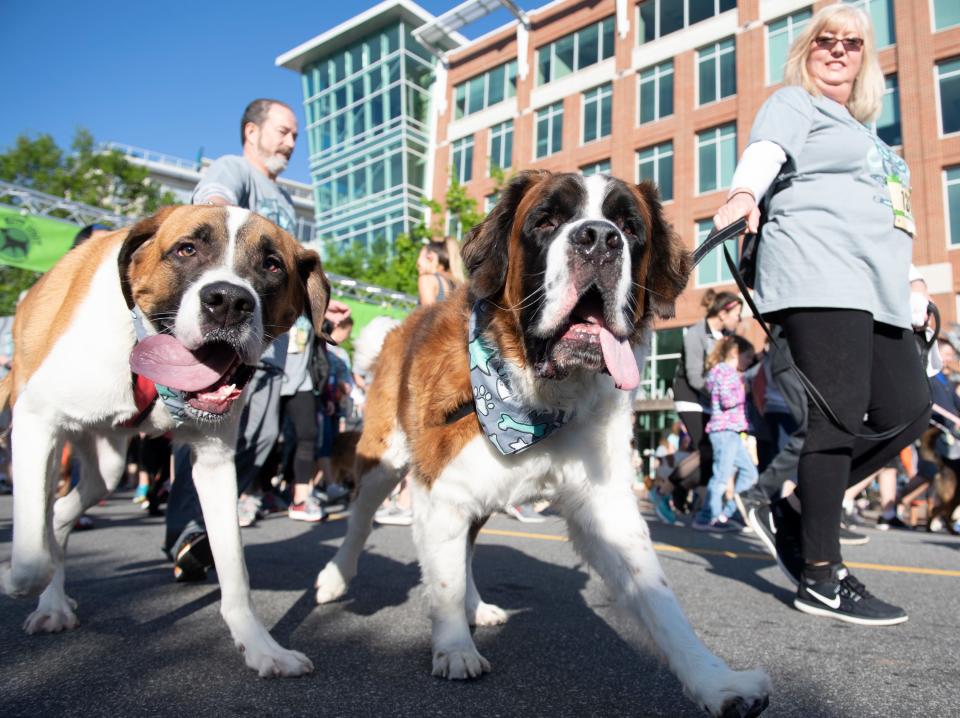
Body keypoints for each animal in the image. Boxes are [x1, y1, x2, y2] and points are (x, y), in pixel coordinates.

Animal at [0, 204, 328, 680]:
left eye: (272, 265)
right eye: (186, 249)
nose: (229, 301)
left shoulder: (214, 462)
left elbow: (235, 571)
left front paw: (261, 647)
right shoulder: (35, 420)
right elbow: (29, 559)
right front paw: (13, 577)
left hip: (108, 464)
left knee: (61, 511)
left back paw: (55, 600)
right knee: (43, 517)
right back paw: (50, 601)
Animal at [316, 174, 772, 718]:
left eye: (628, 228)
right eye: (546, 222)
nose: (599, 240)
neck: (532, 396)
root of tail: (399, 326)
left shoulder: (605, 504)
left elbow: (657, 595)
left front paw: (713, 680)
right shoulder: (441, 491)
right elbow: (442, 578)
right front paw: (453, 647)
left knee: (463, 550)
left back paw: (475, 606)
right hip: (383, 458)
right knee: (361, 521)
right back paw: (336, 578)